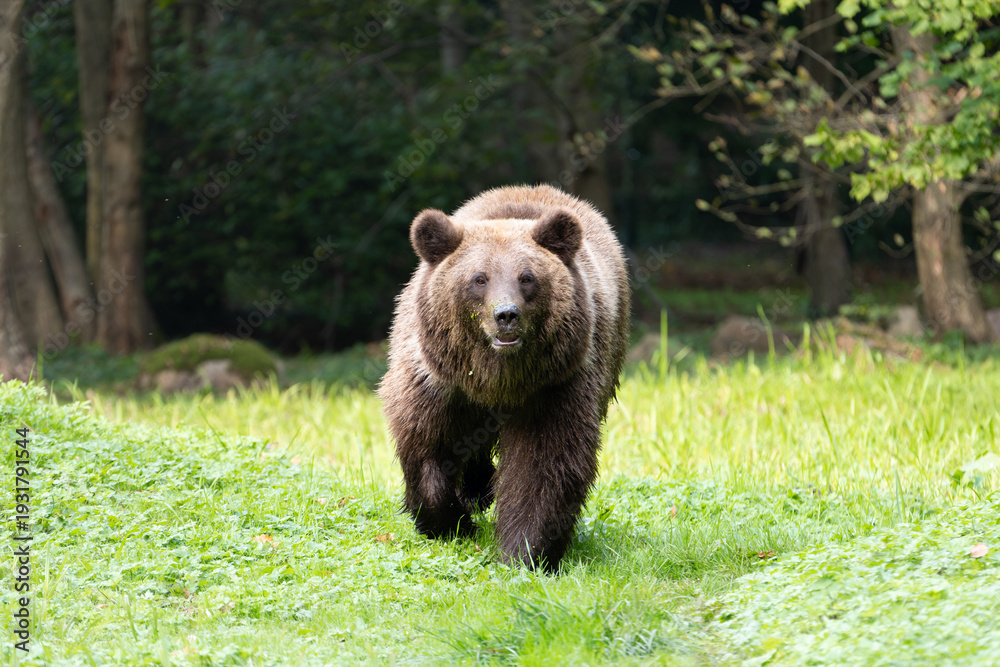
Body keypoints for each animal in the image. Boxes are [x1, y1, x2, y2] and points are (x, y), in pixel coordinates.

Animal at [378, 184, 630, 572]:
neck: (497, 378)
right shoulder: (438, 380)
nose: (506, 315)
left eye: (527, 277)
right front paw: (449, 522)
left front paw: (524, 551)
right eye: (479, 278)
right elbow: (425, 442)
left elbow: (543, 465)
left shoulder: (555, 387)